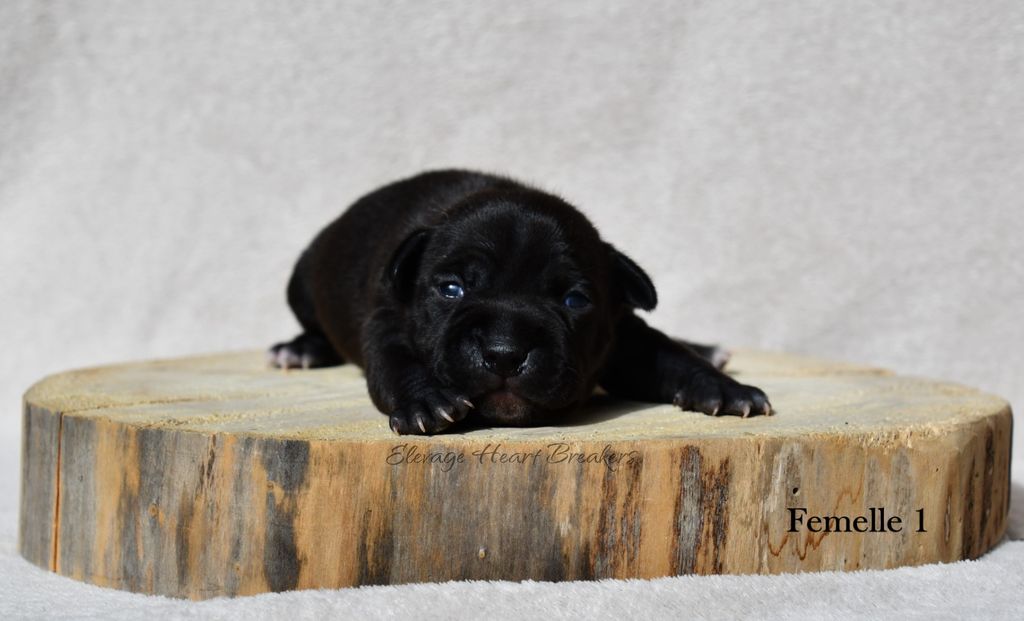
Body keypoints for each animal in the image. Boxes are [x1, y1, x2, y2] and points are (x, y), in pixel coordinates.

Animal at [268, 168, 770, 436]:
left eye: (574, 299)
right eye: (452, 289)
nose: (505, 354)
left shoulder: (623, 332)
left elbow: (669, 355)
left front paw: (724, 388)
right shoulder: (386, 323)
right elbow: (397, 364)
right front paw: (426, 401)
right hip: (301, 282)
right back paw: (300, 349)